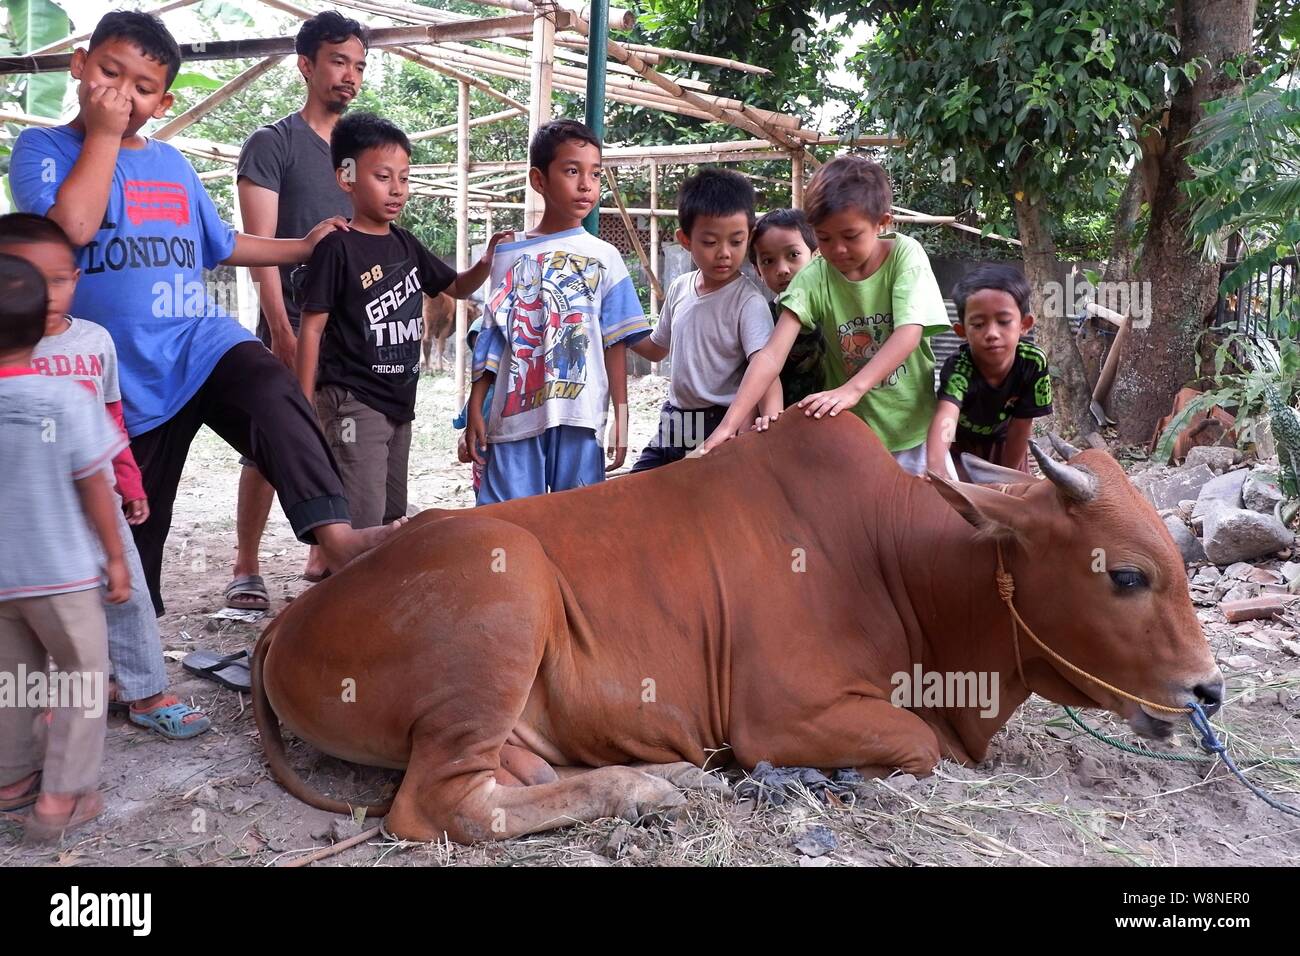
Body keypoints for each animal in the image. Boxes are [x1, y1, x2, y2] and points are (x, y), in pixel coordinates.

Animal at [250, 416, 1216, 842]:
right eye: (1127, 574)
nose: (1207, 688)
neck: (901, 565)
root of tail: (291, 619)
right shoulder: (779, 715)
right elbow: (914, 747)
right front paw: (823, 779)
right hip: (507, 584)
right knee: (439, 805)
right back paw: (642, 790)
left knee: (511, 773)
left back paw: (662, 773)